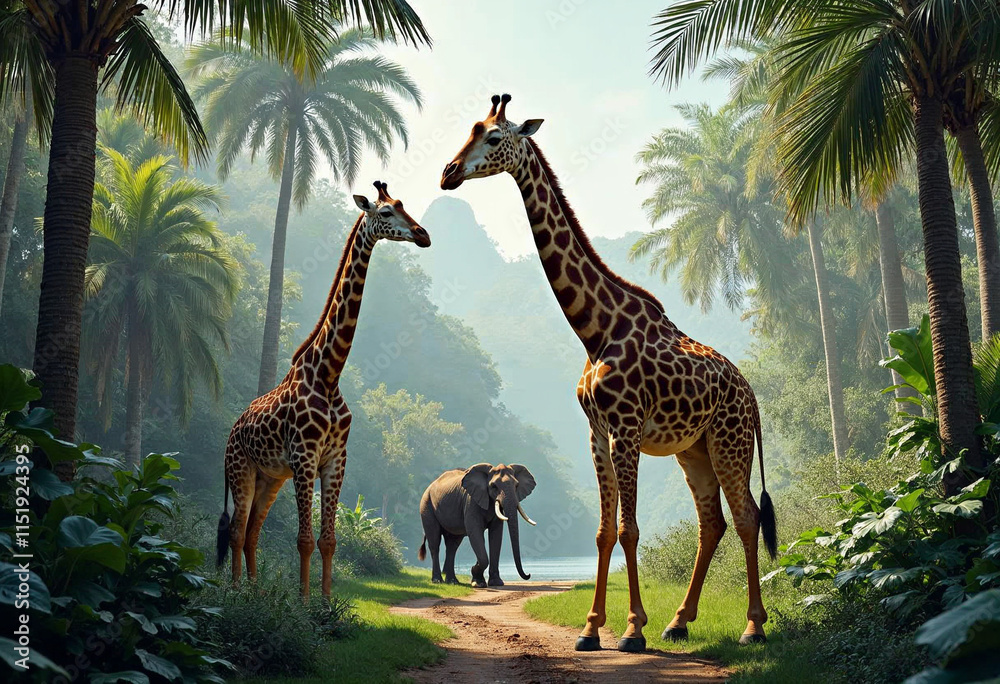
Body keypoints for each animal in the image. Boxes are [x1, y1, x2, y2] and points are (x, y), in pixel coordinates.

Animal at [216, 181, 431, 599]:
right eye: (385, 212)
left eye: (403, 205)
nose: (423, 234)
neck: (328, 375)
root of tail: (232, 429)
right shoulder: (304, 456)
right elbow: (304, 539)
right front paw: (303, 603)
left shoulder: (335, 459)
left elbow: (329, 540)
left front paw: (328, 603)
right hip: (241, 469)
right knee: (235, 530)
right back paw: (236, 594)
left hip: (270, 478)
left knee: (252, 533)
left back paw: (255, 593)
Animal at [441, 95, 777, 651]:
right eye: (469, 130)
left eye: (493, 137)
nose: (448, 173)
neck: (594, 328)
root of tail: (751, 396)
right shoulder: (597, 434)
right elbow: (603, 532)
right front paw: (591, 629)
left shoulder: (626, 430)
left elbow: (628, 530)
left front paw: (632, 631)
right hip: (694, 449)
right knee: (712, 522)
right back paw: (679, 622)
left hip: (731, 441)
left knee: (747, 516)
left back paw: (752, 626)